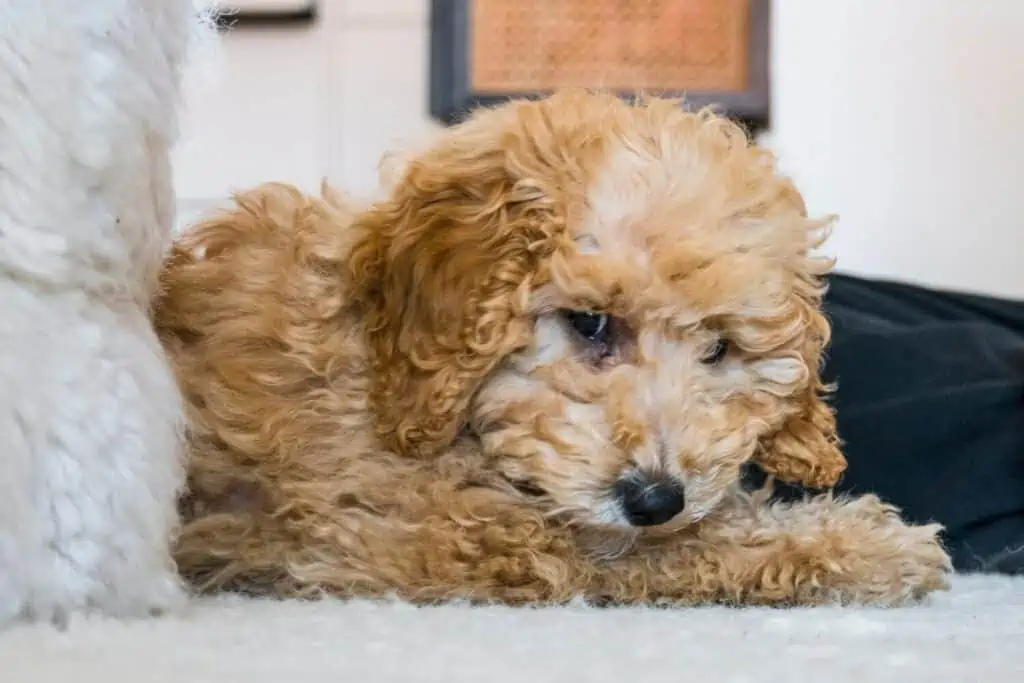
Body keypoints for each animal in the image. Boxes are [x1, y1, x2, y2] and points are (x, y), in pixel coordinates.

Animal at [159, 89, 950, 602]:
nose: (655, 498)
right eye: (591, 323)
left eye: (720, 348)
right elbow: (669, 550)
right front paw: (866, 547)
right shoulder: (461, 534)